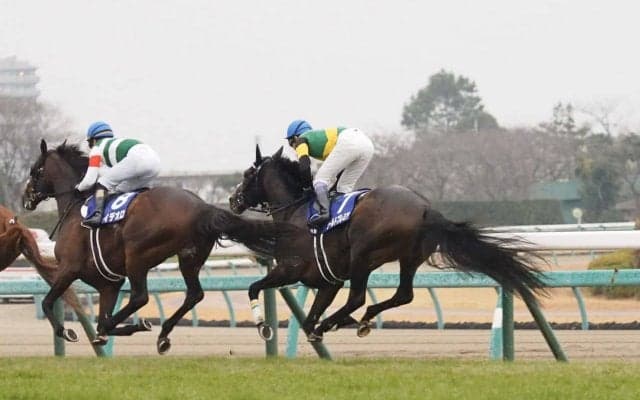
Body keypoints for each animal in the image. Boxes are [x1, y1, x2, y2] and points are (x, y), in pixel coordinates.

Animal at [23, 139, 289, 354]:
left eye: (35, 171)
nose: (25, 198)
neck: (75, 208)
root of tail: (202, 207)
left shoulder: (69, 268)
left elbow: (48, 303)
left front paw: (68, 331)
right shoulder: (108, 285)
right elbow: (98, 322)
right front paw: (112, 332)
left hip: (137, 255)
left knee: (140, 297)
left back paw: (144, 325)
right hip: (189, 257)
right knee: (194, 294)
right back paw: (163, 334)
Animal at [229, 145, 547, 342]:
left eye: (247, 174)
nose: (233, 200)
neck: (295, 211)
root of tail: (425, 208)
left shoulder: (290, 269)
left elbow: (254, 288)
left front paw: (263, 326)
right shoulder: (328, 281)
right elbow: (308, 320)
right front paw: (321, 326)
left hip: (362, 253)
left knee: (358, 298)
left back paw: (340, 321)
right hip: (409, 258)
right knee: (403, 294)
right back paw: (360, 319)